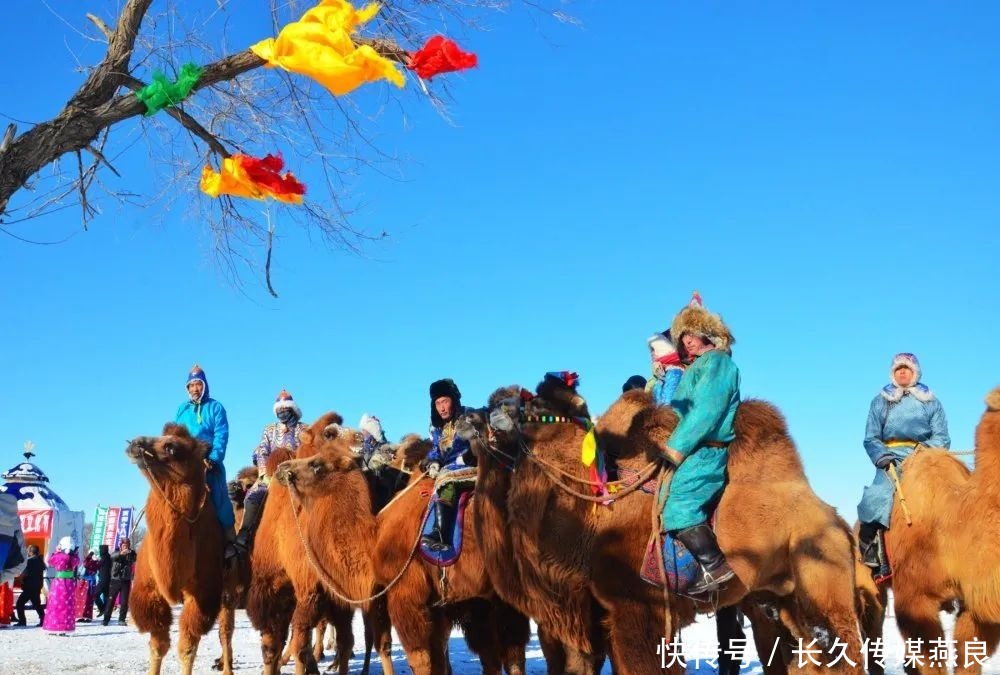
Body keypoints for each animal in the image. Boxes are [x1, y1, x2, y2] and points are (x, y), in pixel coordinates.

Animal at [125, 422, 250, 675]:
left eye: (172, 447)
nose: (135, 443)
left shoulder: (202, 594)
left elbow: (187, 648)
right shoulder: (148, 592)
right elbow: (158, 646)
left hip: (228, 591)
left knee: (226, 631)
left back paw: (227, 668)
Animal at [246, 412, 390, 675]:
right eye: (329, 433)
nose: (361, 440)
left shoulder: (317, 590)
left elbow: (303, 644)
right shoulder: (274, 587)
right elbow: (275, 645)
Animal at [464, 380, 864, 675]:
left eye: (527, 407)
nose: (471, 418)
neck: (594, 515)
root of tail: (834, 517)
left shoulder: (636, 608)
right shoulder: (606, 613)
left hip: (823, 581)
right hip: (778, 595)